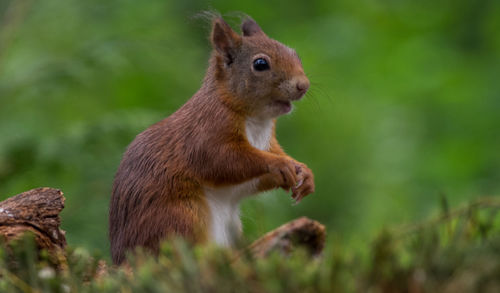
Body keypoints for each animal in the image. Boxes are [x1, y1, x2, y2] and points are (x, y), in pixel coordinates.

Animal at [109, 15, 314, 262]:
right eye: (260, 64)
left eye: (295, 54)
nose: (303, 85)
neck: (257, 121)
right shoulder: (205, 133)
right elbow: (222, 161)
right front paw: (280, 164)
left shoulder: (267, 144)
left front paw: (303, 171)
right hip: (180, 218)